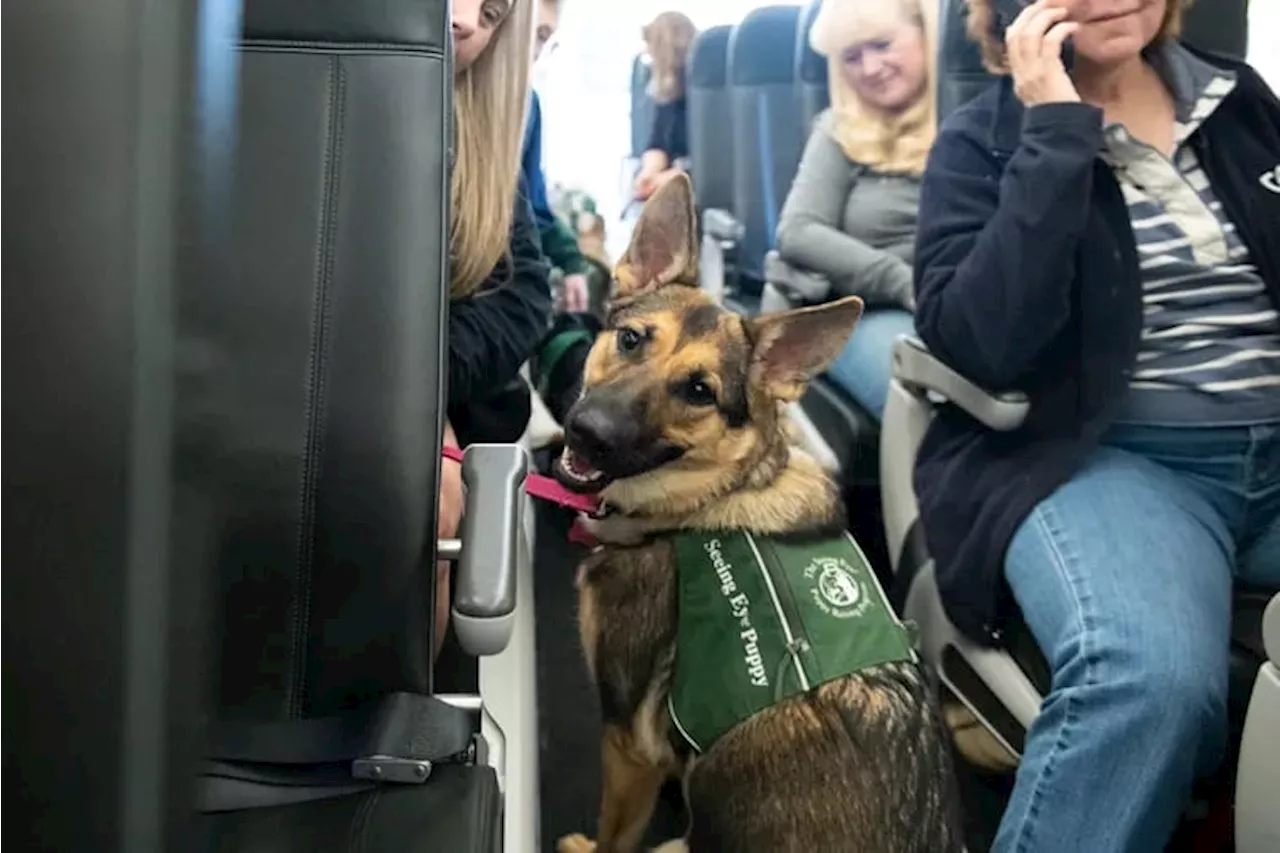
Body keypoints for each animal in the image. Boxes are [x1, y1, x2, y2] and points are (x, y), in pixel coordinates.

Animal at [550, 174, 962, 850]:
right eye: (631, 340)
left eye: (699, 392)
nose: (588, 434)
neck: (708, 500)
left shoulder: (627, 747)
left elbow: (613, 836)